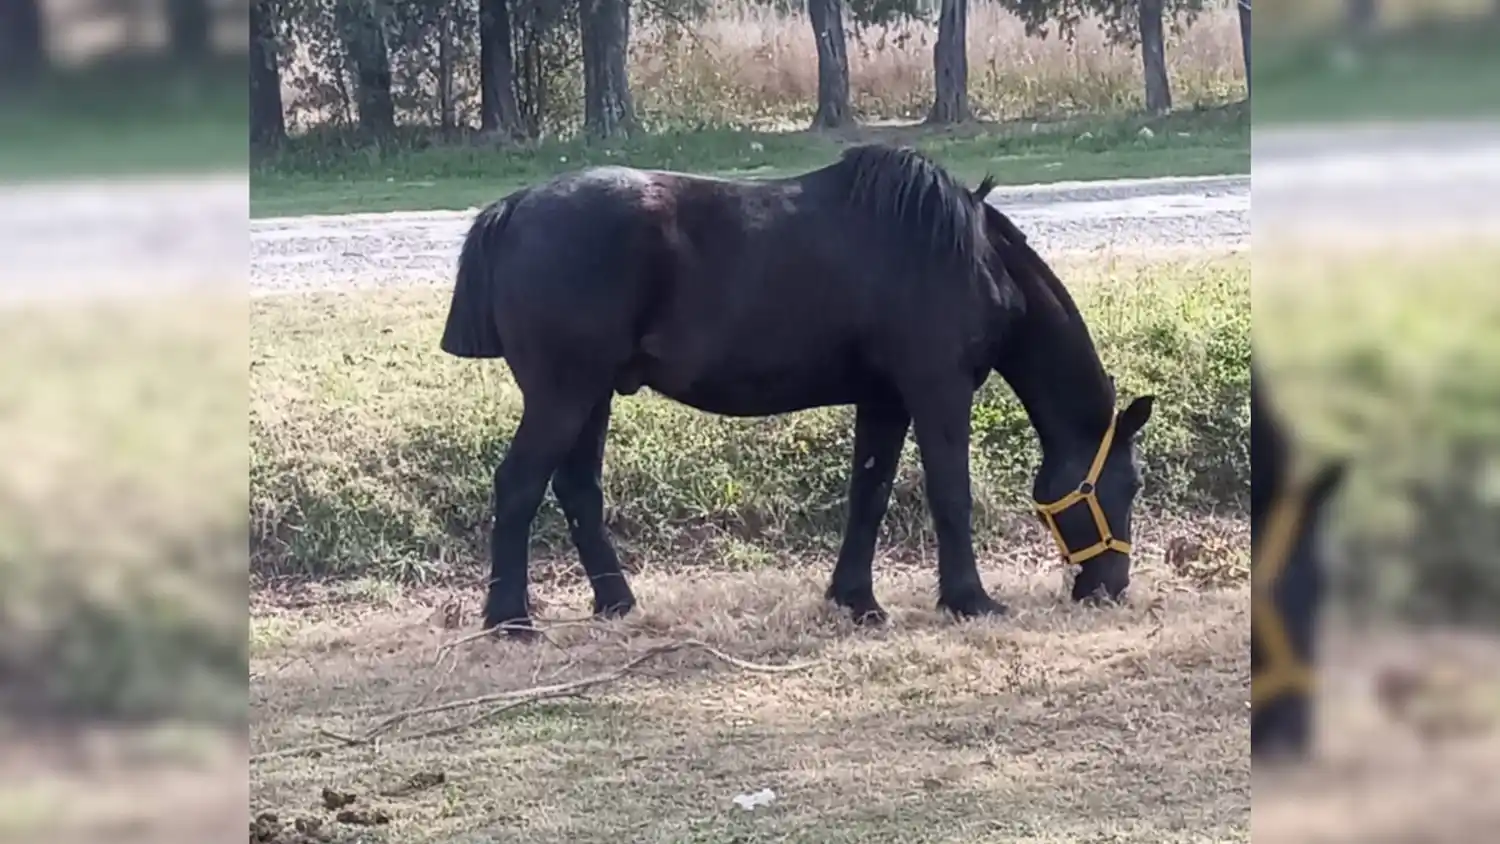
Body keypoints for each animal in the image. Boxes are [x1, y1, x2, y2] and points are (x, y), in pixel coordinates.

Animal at [439, 143, 1156, 635]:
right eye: (1129, 484)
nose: (1110, 586)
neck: (970, 256)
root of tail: (513, 208)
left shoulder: (884, 399)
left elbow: (868, 494)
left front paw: (857, 600)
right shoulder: (937, 391)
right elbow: (950, 493)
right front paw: (969, 599)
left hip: (593, 396)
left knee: (577, 487)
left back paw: (615, 602)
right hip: (563, 394)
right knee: (520, 485)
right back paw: (509, 619)